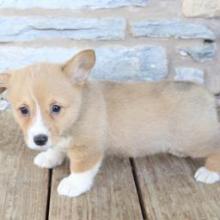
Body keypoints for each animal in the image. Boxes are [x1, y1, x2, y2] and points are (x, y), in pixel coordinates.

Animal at [0, 50, 220, 198]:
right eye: (23, 110)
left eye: (56, 108)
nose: (39, 140)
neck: (79, 110)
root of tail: (206, 94)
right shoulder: (60, 139)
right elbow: (57, 148)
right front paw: (48, 156)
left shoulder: (88, 149)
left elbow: (80, 169)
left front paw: (73, 185)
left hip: (194, 140)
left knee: (215, 146)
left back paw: (209, 172)